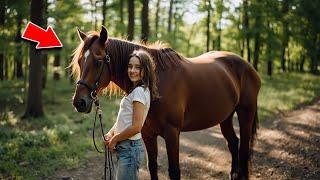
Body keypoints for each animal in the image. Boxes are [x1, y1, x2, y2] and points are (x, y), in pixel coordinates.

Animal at [71, 26, 262, 180]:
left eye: (98, 61)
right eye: (80, 61)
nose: (79, 102)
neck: (156, 82)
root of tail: (248, 66)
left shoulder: (172, 133)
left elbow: (174, 171)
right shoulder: (148, 134)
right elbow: (152, 167)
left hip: (246, 113)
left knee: (244, 147)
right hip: (225, 117)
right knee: (233, 142)